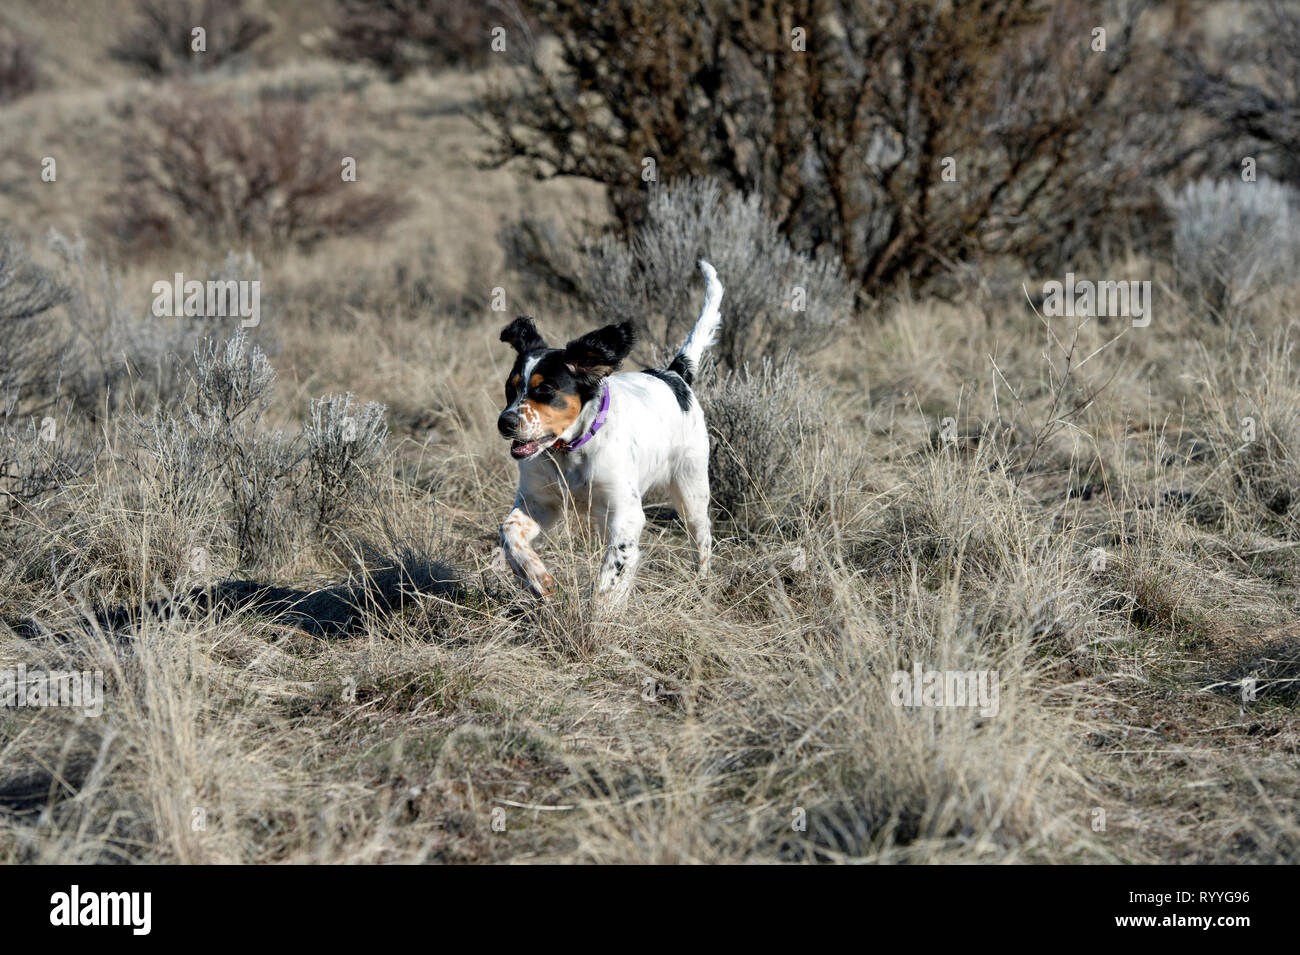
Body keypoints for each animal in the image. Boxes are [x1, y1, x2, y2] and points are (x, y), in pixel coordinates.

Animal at [493, 259, 728, 605]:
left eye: (545, 389)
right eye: (510, 389)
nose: (505, 423)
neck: (571, 452)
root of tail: (674, 375)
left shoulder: (625, 513)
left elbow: (611, 571)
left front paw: (600, 609)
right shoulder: (539, 502)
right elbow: (510, 534)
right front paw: (538, 579)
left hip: (691, 489)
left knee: (703, 539)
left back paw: (702, 584)